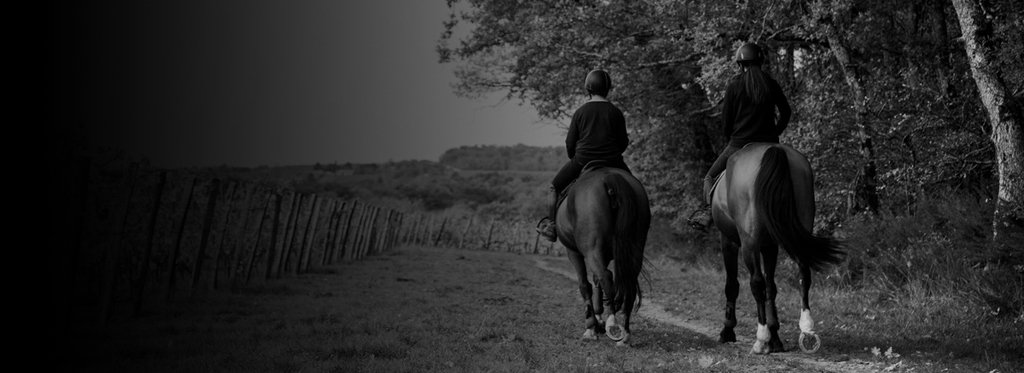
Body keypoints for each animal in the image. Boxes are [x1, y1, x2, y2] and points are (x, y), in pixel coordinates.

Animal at [557, 164, 651, 344]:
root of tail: (610, 177)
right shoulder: (606, 255)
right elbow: (596, 281)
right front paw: (598, 317)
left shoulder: (574, 252)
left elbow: (585, 285)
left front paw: (591, 327)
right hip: (633, 249)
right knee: (627, 284)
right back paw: (625, 334)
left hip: (591, 249)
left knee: (606, 277)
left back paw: (611, 323)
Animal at [712, 142, 847, 352]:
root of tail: (773, 149)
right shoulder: (770, 246)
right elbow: (772, 288)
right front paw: (775, 335)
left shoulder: (728, 240)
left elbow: (732, 285)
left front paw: (727, 331)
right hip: (800, 226)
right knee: (803, 274)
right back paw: (806, 327)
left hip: (749, 242)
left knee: (756, 282)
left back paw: (760, 340)